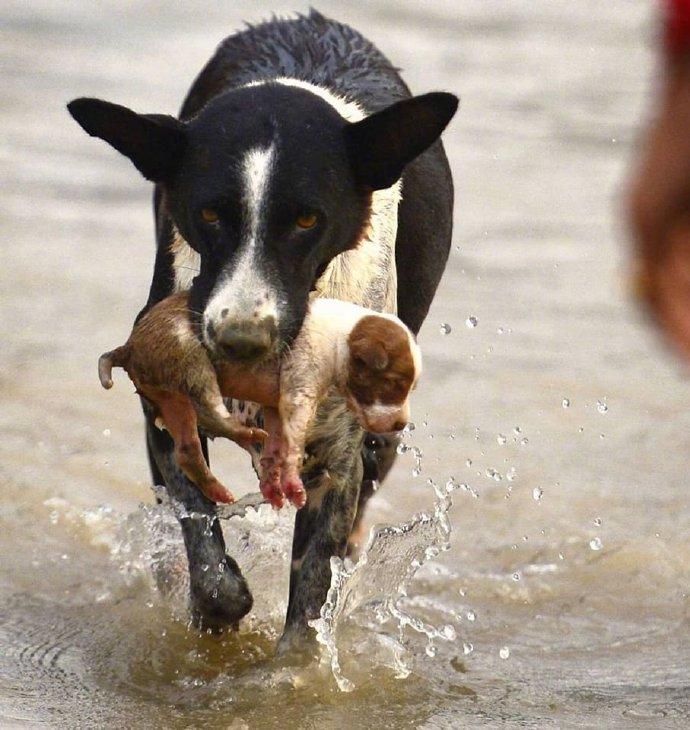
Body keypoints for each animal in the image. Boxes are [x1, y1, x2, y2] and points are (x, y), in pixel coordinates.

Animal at [98, 292, 420, 510]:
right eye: (394, 383)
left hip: (172, 400)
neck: (341, 339)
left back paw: (218, 488)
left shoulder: (275, 405)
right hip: (191, 358)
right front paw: (292, 484)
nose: (401, 423)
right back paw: (245, 434)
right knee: (211, 411)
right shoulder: (298, 394)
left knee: (187, 450)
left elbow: (277, 445)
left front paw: (272, 482)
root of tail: (128, 346)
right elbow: (292, 444)